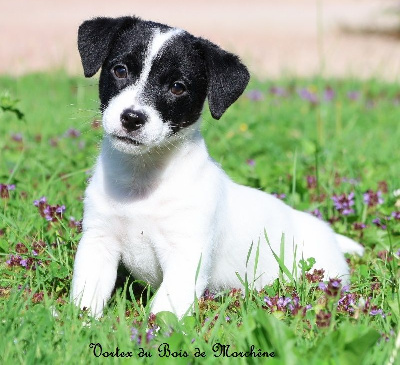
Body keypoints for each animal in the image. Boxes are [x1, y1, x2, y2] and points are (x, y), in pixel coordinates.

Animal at [70, 15, 364, 318]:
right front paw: (81, 324)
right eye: (120, 70)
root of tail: (330, 237)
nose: (132, 118)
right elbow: (87, 296)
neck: (142, 179)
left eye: (178, 87)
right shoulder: (98, 242)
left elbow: (164, 311)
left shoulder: (187, 257)